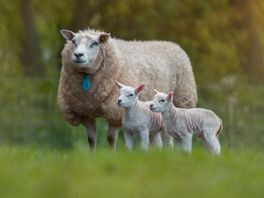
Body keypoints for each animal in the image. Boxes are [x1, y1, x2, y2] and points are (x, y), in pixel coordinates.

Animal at [58, 28, 198, 150]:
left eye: (95, 43)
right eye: (74, 42)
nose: (78, 55)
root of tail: (172, 44)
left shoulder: (115, 112)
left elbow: (111, 139)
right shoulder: (85, 112)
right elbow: (91, 140)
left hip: (181, 102)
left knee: (169, 137)